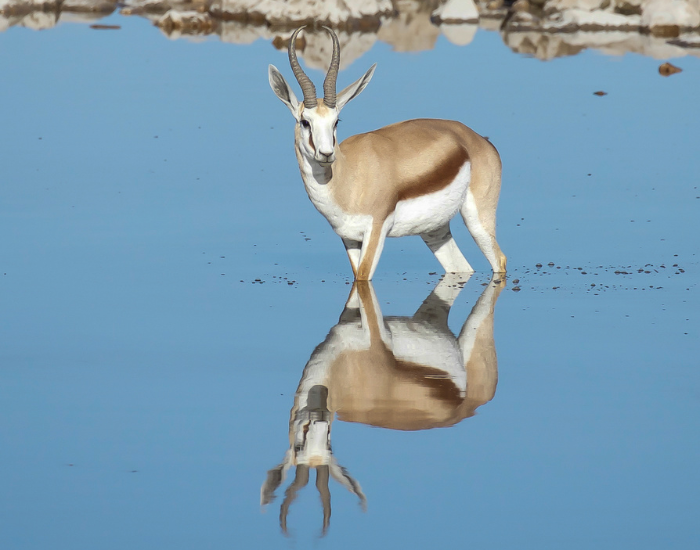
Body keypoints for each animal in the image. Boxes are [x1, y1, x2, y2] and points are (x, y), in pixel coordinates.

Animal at [268, 26, 507, 281]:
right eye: (305, 122)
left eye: (336, 121)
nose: (326, 154)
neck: (346, 179)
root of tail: (479, 140)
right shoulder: (348, 237)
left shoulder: (376, 230)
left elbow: (363, 278)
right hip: (435, 230)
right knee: (462, 268)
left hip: (477, 221)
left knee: (499, 259)